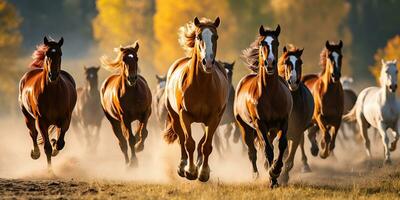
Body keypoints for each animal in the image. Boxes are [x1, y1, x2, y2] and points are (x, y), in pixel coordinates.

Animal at [18, 36, 77, 173]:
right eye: (47, 54)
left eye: (60, 53)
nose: (53, 75)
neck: (52, 93)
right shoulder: (41, 121)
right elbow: (47, 147)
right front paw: (50, 172)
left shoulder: (65, 119)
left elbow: (60, 142)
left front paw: (55, 145)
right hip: (27, 115)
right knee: (33, 133)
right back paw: (35, 153)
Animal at [163, 17, 228, 182]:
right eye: (199, 37)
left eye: (215, 37)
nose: (208, 62)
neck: (201, 85)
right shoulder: (184, 115)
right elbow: (189, 143)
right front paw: (190, 171)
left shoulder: (214, 117)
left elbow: (206, 146)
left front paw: (203, 172)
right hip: (175, 117)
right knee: (181, 139)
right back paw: (182, 166)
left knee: (202, 143)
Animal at [234, 25, 294, 188]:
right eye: (262, 43)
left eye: (276, 43)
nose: (270, 63)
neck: (271, 93)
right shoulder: (260, 123)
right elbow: (267, 150)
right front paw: (272, 177)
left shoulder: (284, 121)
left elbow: (281, 145)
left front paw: (275, 170)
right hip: (246, 127)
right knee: (252, 151)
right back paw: (256, 175)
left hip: (271, 129)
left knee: (270, 145)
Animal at [276, 45, 314, 184]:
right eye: (286, 62)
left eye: (300, 62)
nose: (292, 82)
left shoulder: (297, 132)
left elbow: (289, 161)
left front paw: (283, 177)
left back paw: (305, 166)